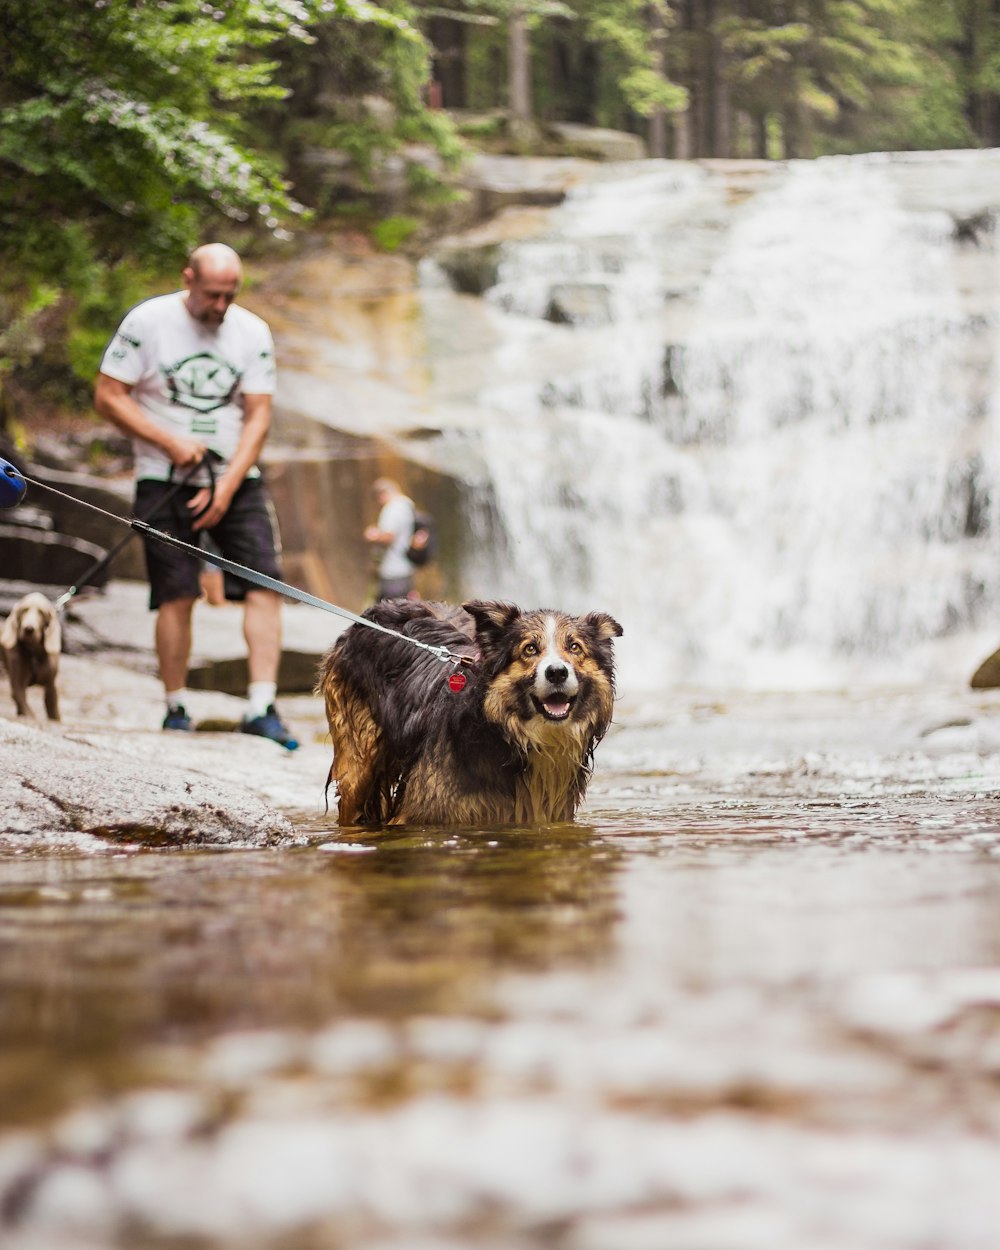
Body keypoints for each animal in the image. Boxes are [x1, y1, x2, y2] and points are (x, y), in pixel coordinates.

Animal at [0, 592, 61, 725]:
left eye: (41, 612)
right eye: (24, 610)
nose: (29, 629)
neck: (34, 652)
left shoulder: (51, 684)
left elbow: (52, 707)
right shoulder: (18, 682)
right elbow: (24, 703)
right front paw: (30, 718)